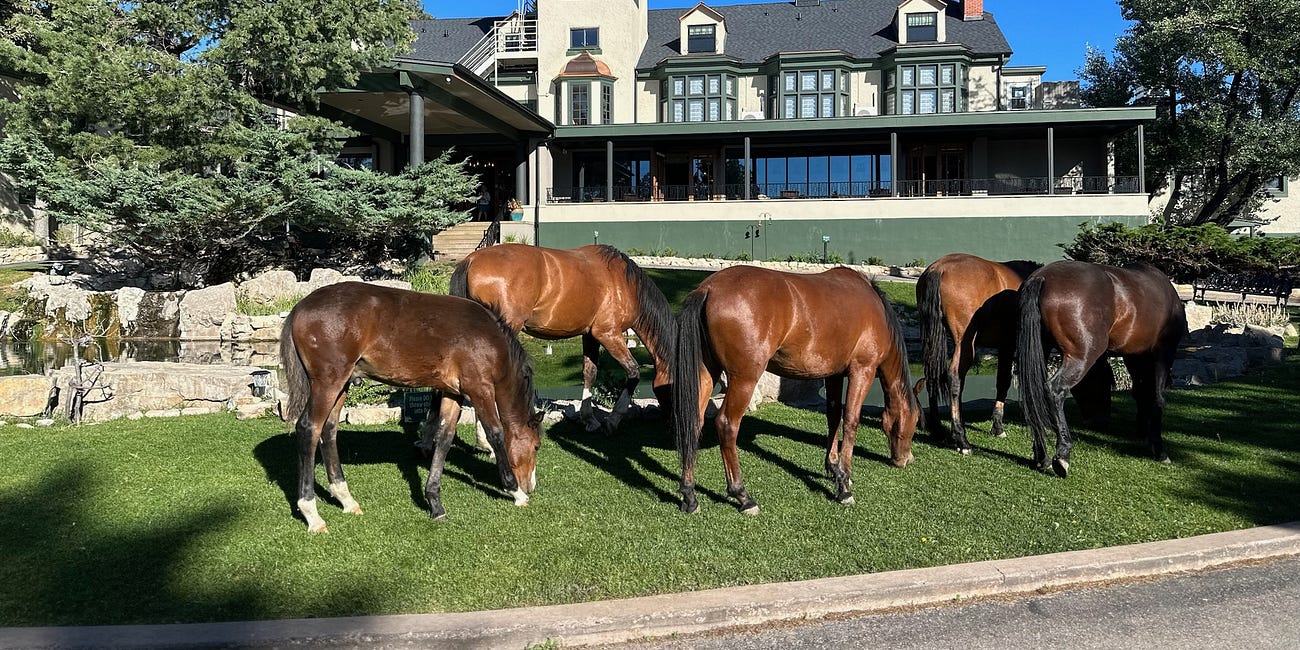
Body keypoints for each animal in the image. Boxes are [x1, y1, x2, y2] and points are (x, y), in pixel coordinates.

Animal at [280, 282, 543, 533]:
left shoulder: (453, 393)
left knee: (329, 430)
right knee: (309, 429)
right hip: (328, 383)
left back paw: (346, 499)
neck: (490, 337)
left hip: (342, 385)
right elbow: (495, 433)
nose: (530, 486)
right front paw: (515, 492)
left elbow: (444, 438)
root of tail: (300, 307)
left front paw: (435, 503)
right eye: (537, 446)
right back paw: (312, 515)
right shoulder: (480, 388)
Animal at [450, 243, 675, 433]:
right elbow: (633, 370)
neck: (625, 284)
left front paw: (589, 419)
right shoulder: (608, 334)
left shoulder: (590, 336)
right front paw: (613, 420)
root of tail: (471, 260)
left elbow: (589, 373)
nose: (672, 423)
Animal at [673, 266, 920, 515]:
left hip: (707, 373)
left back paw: (689, 495)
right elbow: (851, 421)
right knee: (727, 424)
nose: (906, 459)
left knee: (694, 421)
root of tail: (709, 288)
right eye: (915, 420)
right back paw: (742, 496)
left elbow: (833, 417)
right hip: (744, 379)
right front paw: (844, 484)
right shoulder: (862, 371)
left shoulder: (834, 374)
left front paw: (833, 468)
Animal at [916, 253, 1042, 453]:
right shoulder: (1009, 346)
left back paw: (939, 430)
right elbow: (1004, 381)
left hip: (932, 338)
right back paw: (961, 438)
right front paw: (998, 426)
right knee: (954, 377)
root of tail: (939, 269)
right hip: (965, 343)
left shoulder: (1005, 347)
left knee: (933, 375)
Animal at [1016, 261, 1187, 477]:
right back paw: (1063, 454)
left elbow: (1140, 392)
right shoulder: (1163, 353)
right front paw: (1158, 447)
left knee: (1035, 391)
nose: (1097, 420)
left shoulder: (1133, 356)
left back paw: (1042, 456)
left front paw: (1143, 434)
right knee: (1055, 390)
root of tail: (1042, 277)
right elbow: (1157, 397)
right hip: (1081, 357)